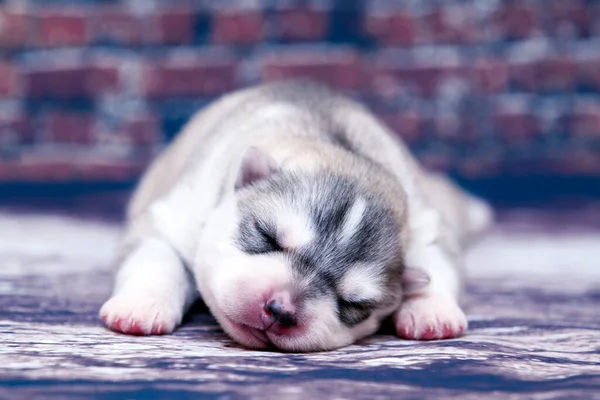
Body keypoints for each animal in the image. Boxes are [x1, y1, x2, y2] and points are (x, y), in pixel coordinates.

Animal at [98, 79, 492, 352]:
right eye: (266, 236)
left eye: (353, 303)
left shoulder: (426, 222)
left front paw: (431, 310)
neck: (341, 154)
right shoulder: (175, 215)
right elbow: (156, 257)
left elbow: (437, 260)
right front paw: (141, 306)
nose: (281, 311)